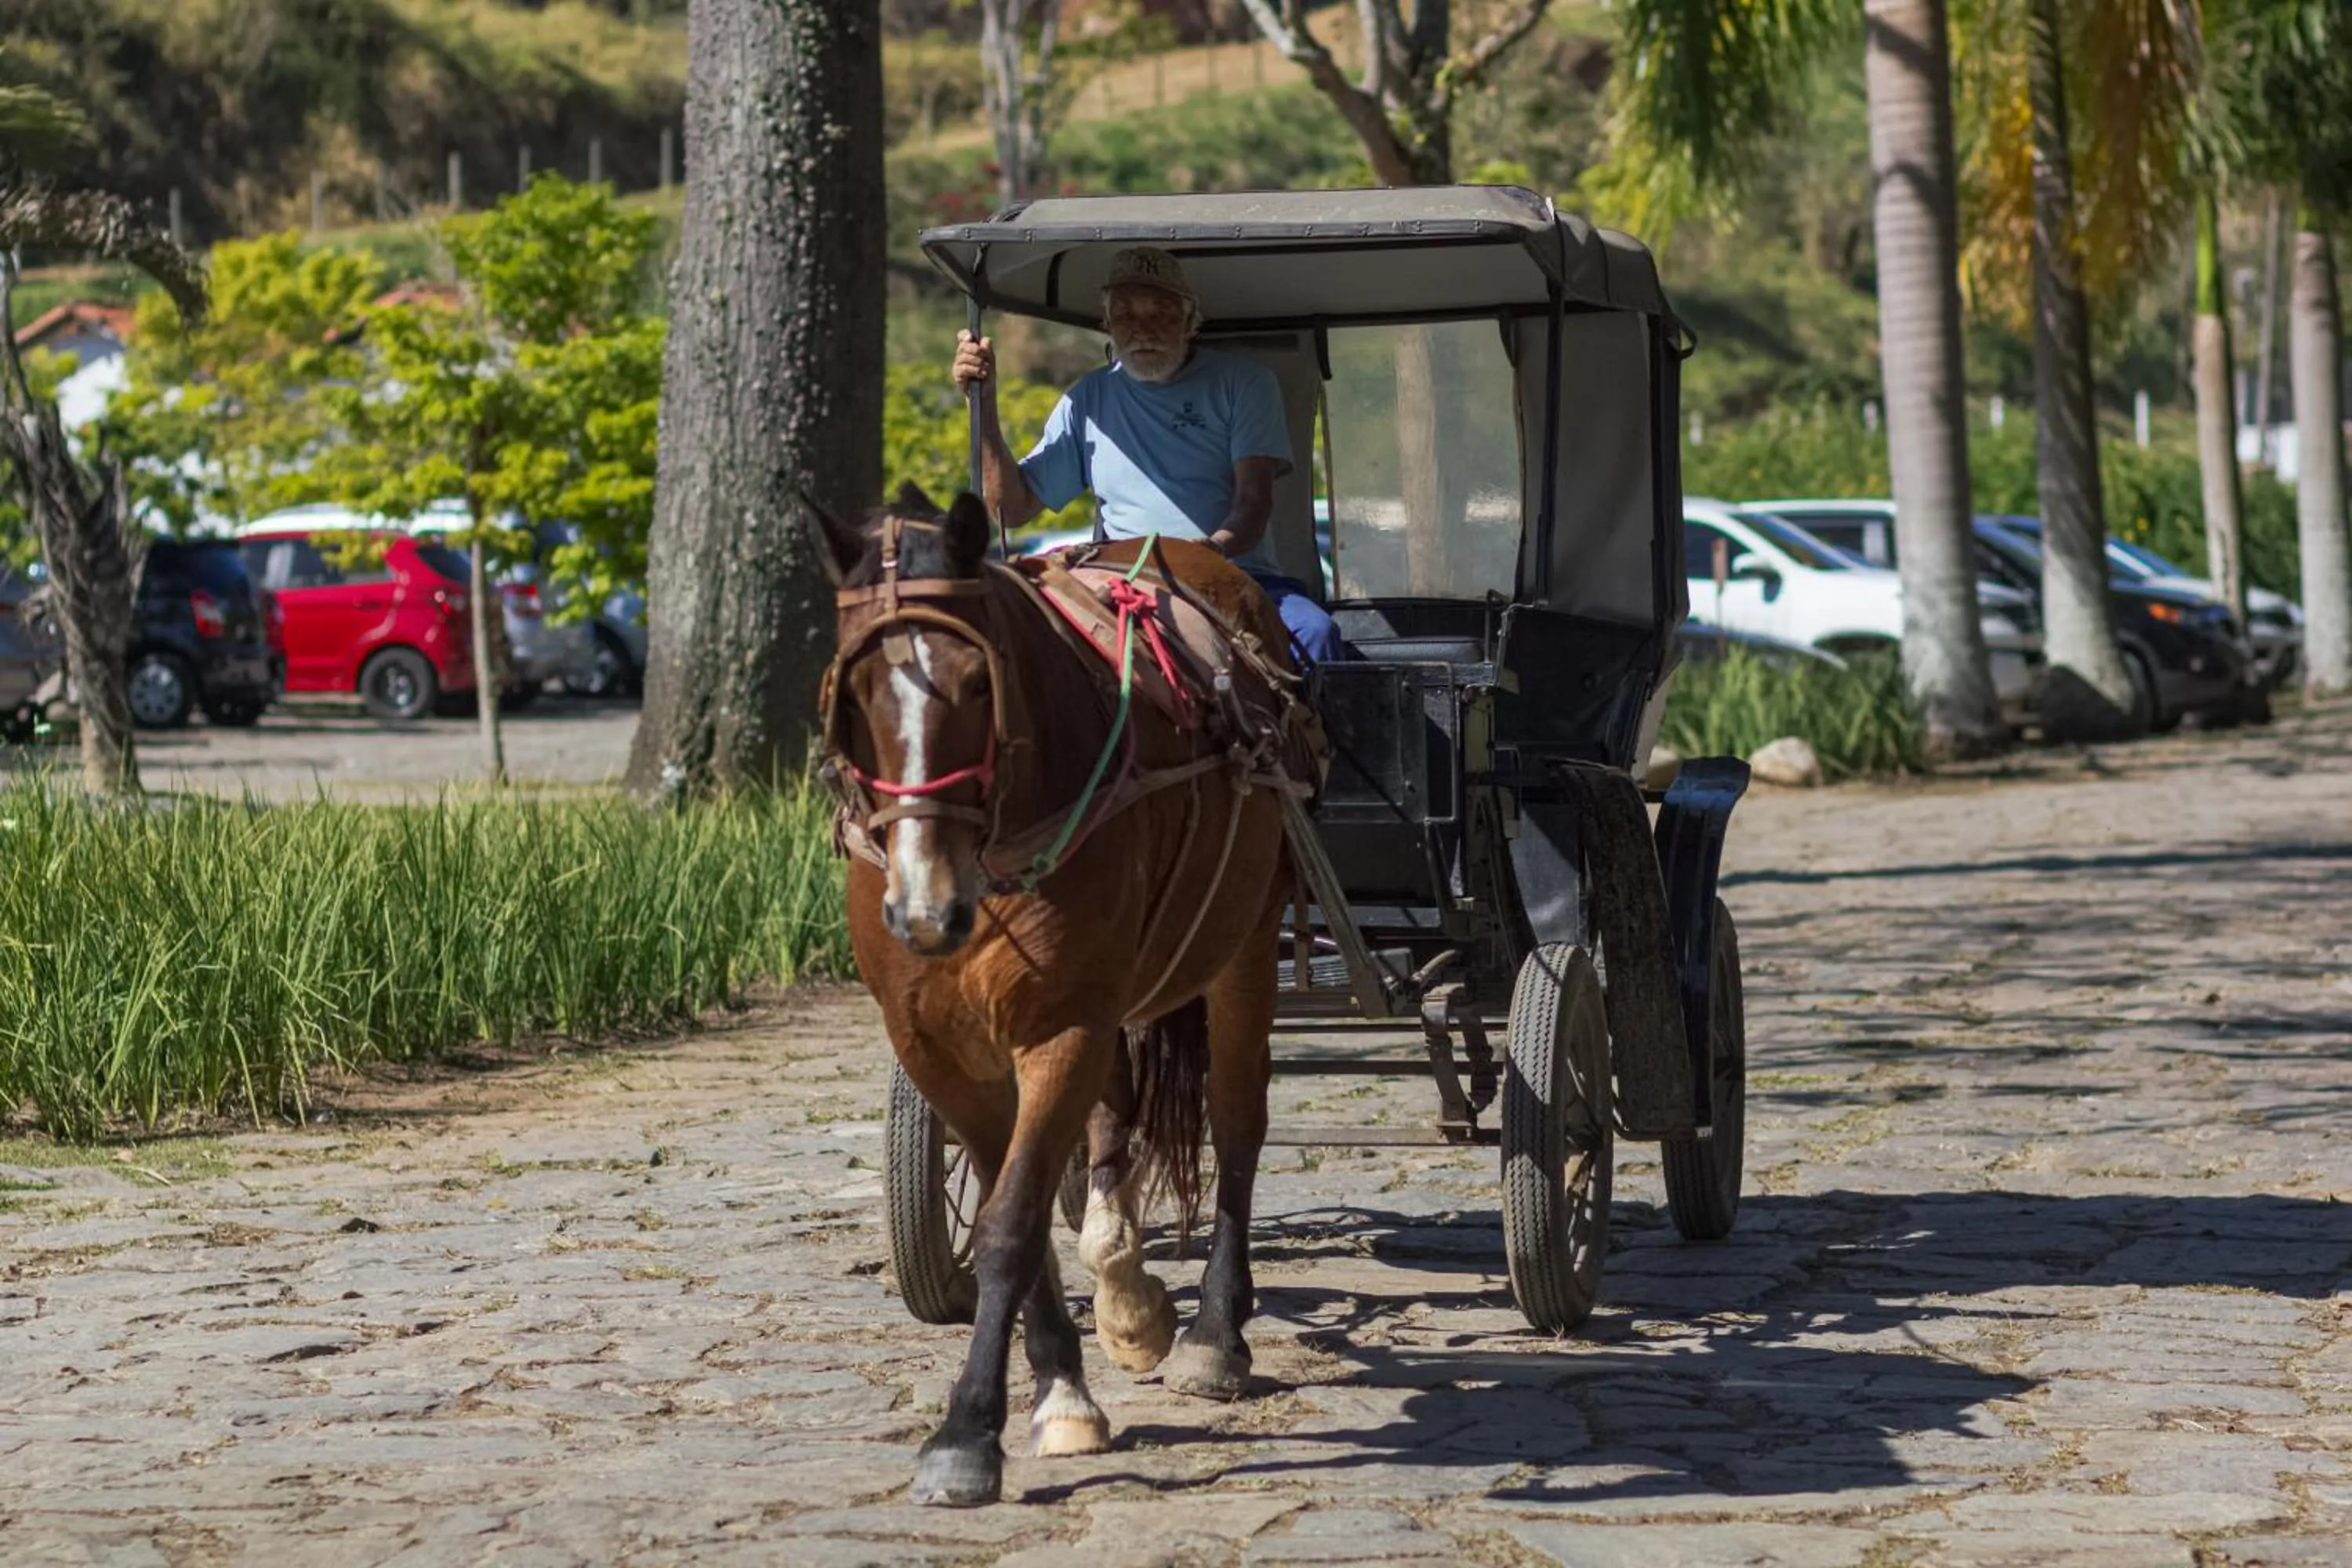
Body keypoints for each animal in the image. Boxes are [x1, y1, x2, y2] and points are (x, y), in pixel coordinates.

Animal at [810, 482, 1310, 1507]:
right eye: (858, 691)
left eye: (977, 681)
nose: (925, 907)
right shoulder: (937, 1044)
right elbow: (1026, 1200)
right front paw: (1063, 1379)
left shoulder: (1065, 1025)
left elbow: (1009, 1219)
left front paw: (969, 1431)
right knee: (1117, 1119)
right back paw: (1129, 1287)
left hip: (1243, 944)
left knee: (1237, 1118)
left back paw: (1213, 1329)